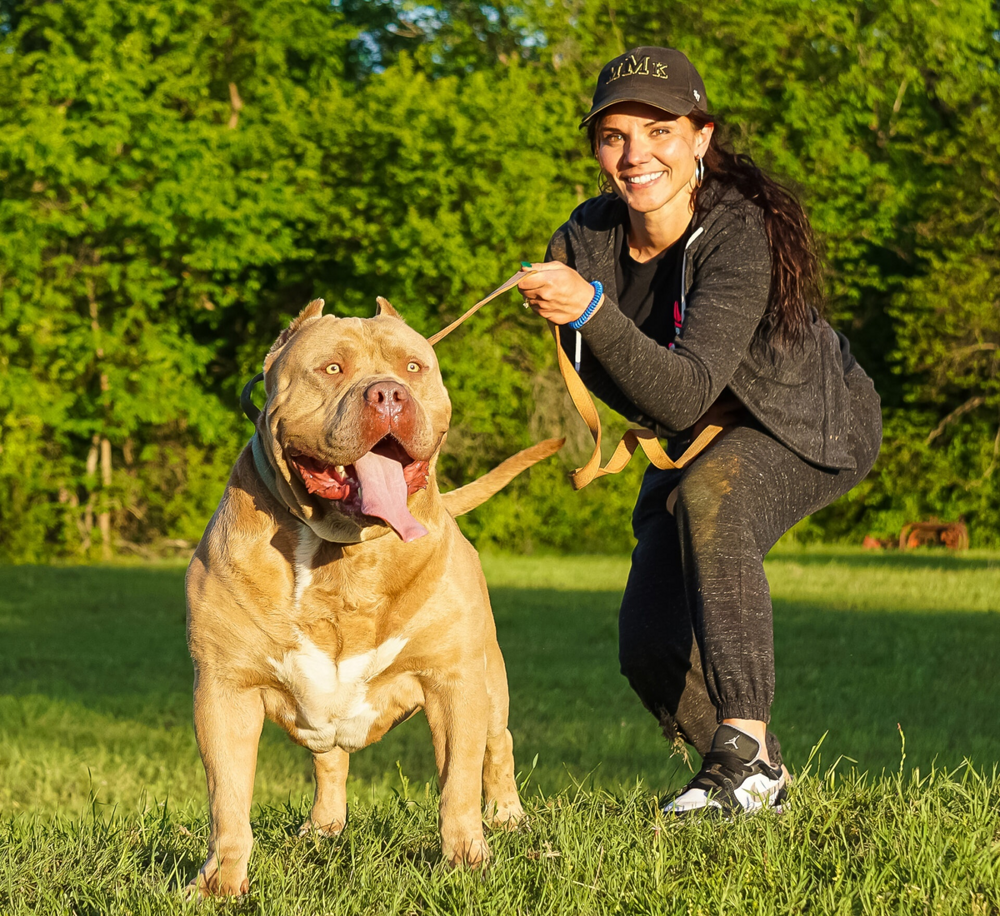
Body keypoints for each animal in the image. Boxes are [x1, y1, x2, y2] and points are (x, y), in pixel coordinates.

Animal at [186, 298, 564, 896]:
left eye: (413, 367)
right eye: (331, 368)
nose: (388, 394)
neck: (343, 552)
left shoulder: (454, 683)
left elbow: (458, 786)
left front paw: (466, 862)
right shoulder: (225, 691)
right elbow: (228, 801)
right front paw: (221, 883)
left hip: (490, 679)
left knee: (497, 746)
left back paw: (507, 816)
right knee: (330, 761)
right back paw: (324, 827)